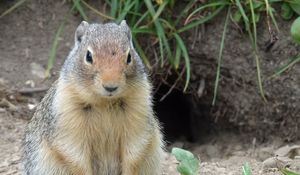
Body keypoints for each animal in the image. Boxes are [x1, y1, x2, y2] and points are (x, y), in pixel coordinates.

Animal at [22, 20, 164, 175]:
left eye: (129, 57)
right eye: (88, 56)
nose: (111, 86)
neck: (105, 102)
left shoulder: (138, 114)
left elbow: (134, 153)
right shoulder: (67, 120)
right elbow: (75, 156)